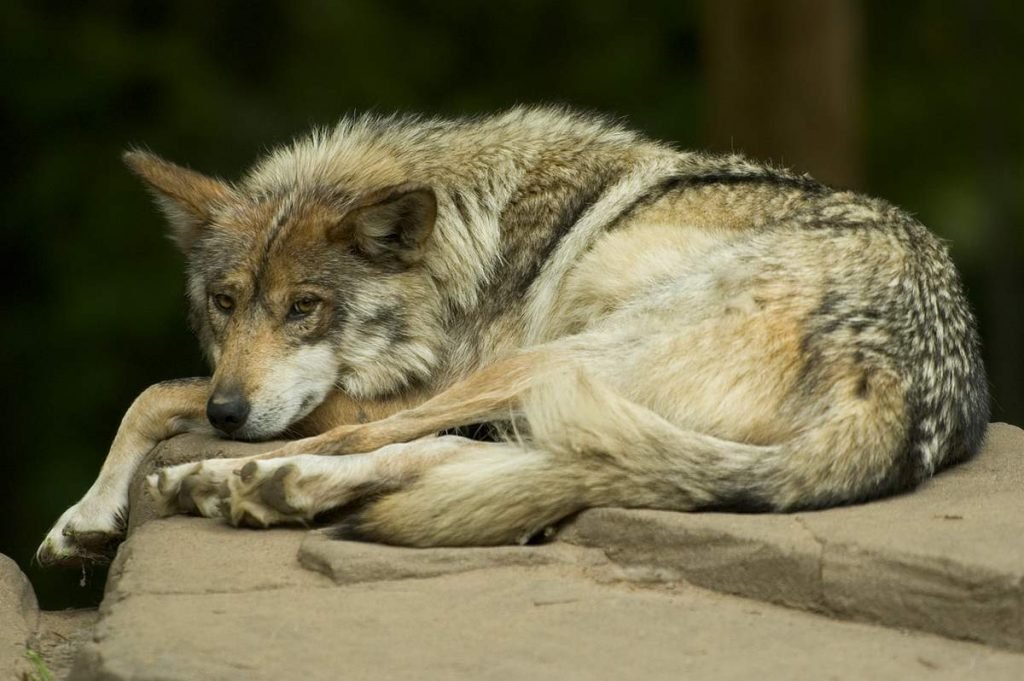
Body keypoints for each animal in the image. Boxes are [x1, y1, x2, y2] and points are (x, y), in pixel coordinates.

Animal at [36, 106, 987, 561]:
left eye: (305, 307)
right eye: (226, 303)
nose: (232, 413)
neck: (469, 245)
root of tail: (901, 381)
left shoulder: (401, 385)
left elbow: (159, 390)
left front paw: (95, 508)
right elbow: (154, 393)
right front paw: (84, 519)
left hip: (548, 359)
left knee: (377, 442)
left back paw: (230, 480)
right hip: (559, 390)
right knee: (477, 459)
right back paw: (274, 486)